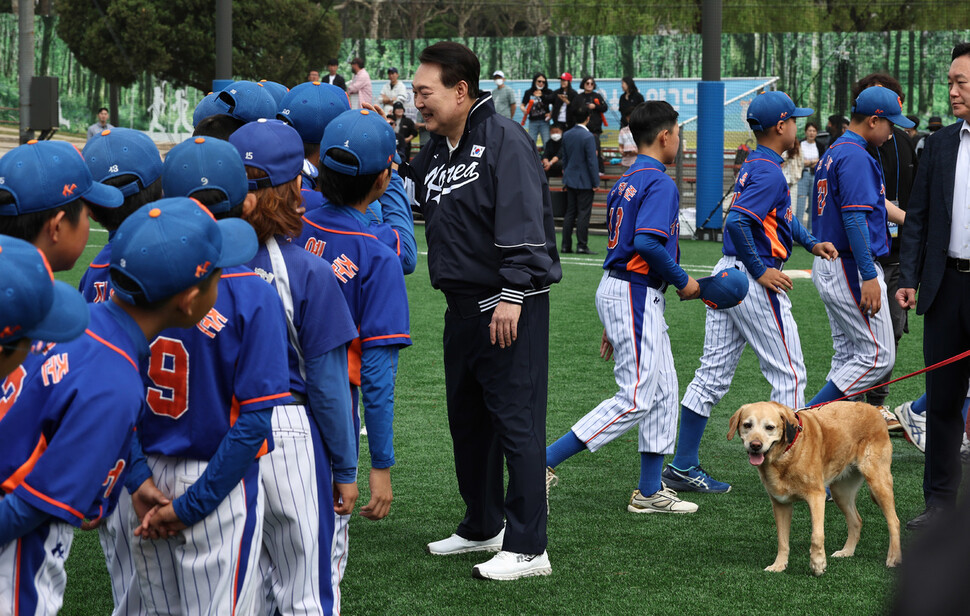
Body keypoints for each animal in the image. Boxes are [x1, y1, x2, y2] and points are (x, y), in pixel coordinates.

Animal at [728, 402, 900, 576]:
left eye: (769, 427)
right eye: (747, 425)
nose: (755, 445)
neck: (788, 450)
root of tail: (872, 408)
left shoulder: (817, 497)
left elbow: (816, 536)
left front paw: (817, 564)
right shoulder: (780, 503)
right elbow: (782, 540)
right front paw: (779, 565)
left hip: (878, 483)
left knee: (894, 521)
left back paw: (894, 557)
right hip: (841, 492)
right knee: (856, 521)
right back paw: (847, 551)